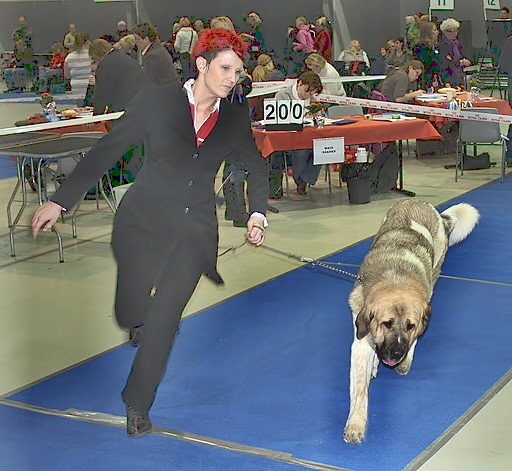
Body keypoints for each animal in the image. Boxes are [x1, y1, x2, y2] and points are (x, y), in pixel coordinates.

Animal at [344, 200, 480, 446]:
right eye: (386, 323)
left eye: (410, 326)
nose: (397, 353)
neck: (395, 277)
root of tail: (427, 206)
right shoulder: (361, 340)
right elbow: (360, 389)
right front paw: (356, 423)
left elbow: (414, 340)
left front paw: (404, 360)